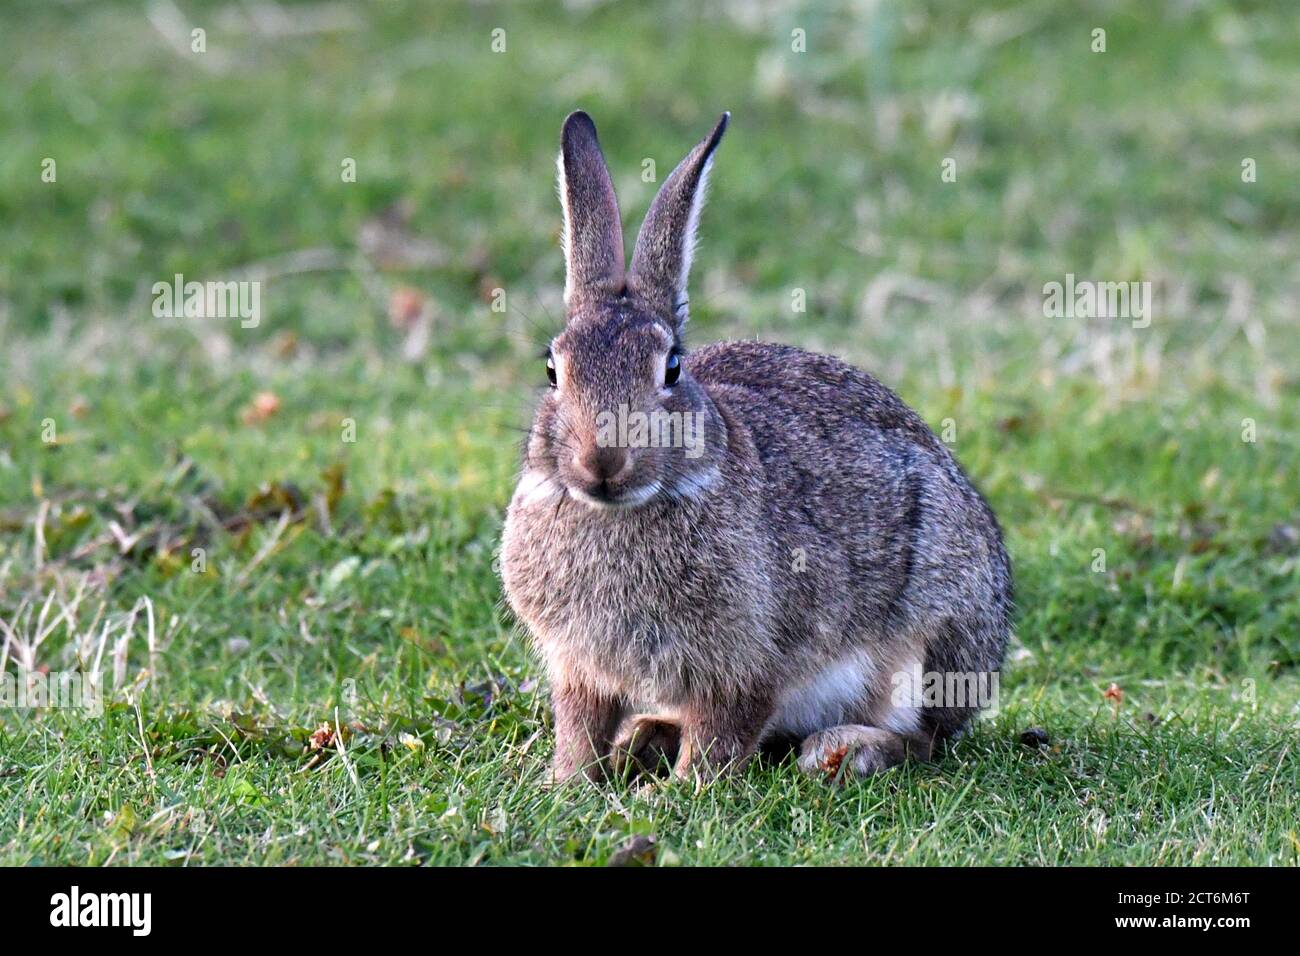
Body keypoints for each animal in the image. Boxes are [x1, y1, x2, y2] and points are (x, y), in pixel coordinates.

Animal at [500, 110, 1012, 784]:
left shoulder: (747, 662)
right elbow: (581, 725)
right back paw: (647, 735)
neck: (622, 511)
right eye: (553, 370)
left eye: (672, 368)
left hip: (932, 635)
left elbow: (723, 731)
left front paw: (677, 793)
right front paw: (569, 784)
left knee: (924, 738)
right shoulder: (580, 668)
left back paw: (844, 750)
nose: (602, 461)